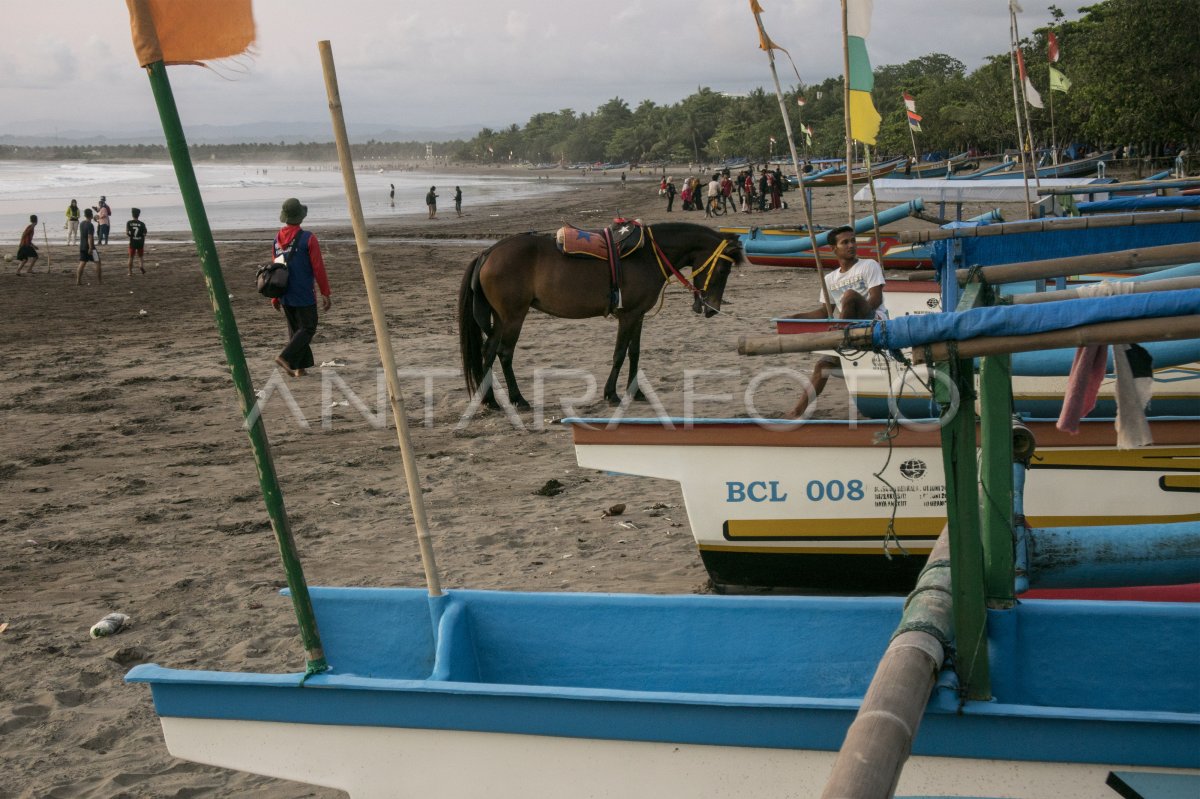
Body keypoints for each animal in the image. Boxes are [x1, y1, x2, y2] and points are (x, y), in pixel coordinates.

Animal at [456, 220, 739, 407]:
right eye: (723, 270)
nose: (712, 308)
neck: (648, 254)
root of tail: (489, 252)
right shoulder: (628, 315)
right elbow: (619, 353)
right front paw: (611, 393)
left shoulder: (638, 315)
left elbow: (634, 353)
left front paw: (636, 392)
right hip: (514, 316)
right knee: (504, 353)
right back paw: (517, 398)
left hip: (501, 317)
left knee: (488, 351)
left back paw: (490, 399)